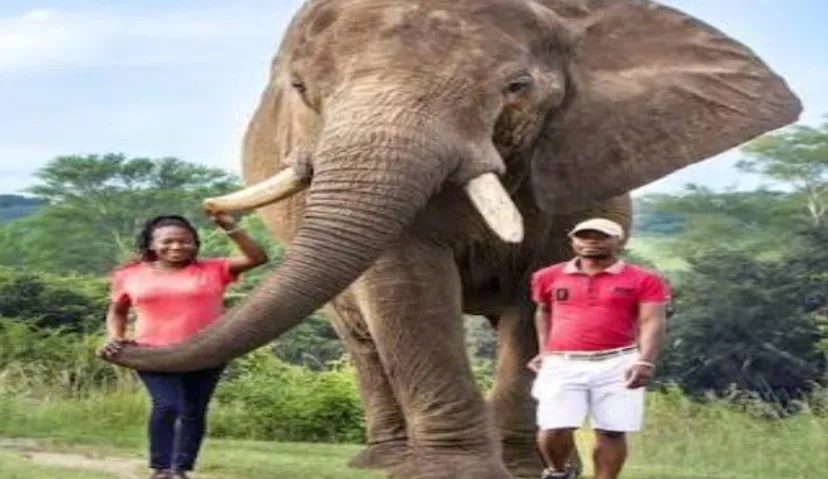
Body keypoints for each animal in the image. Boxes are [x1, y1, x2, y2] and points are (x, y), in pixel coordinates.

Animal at [104, 0, 801, 478]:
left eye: (517, 88)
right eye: (301, 90)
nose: (116, 347)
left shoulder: (582, 162)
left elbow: (537, 301)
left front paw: (520, 469)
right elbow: (409, 287)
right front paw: (455, 472)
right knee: (363, 338)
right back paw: (385, 461)